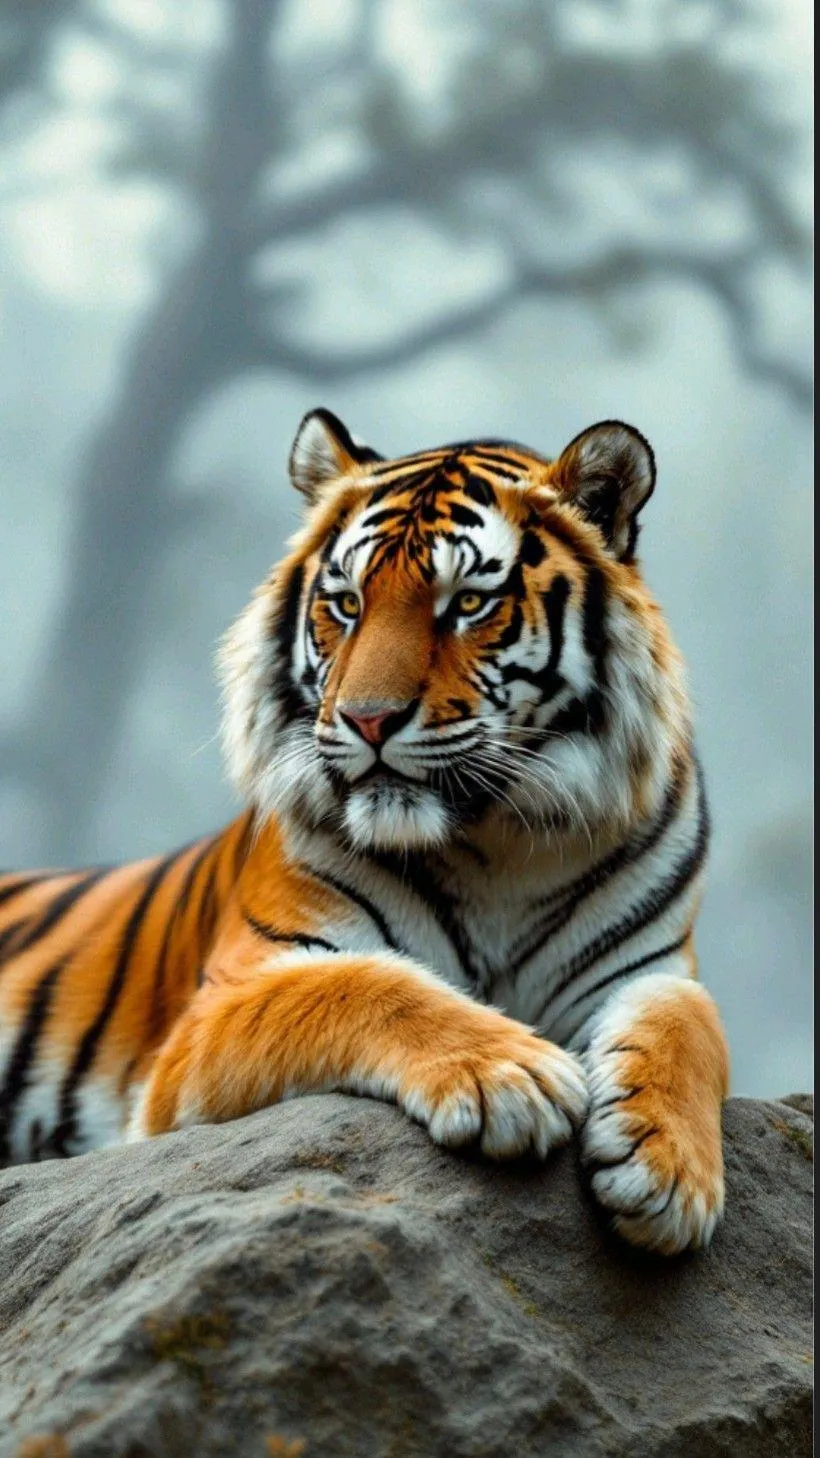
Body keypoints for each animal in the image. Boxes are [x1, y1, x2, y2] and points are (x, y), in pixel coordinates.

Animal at [0, 409, 729, 1254]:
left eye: (467, 603)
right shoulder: (214, 1012)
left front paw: (668, 1170)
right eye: (347, 603)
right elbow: (360, 985)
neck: (499, 843)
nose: (368, 719)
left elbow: (691, 1026)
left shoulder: (652, 968)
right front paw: (510, 1076)